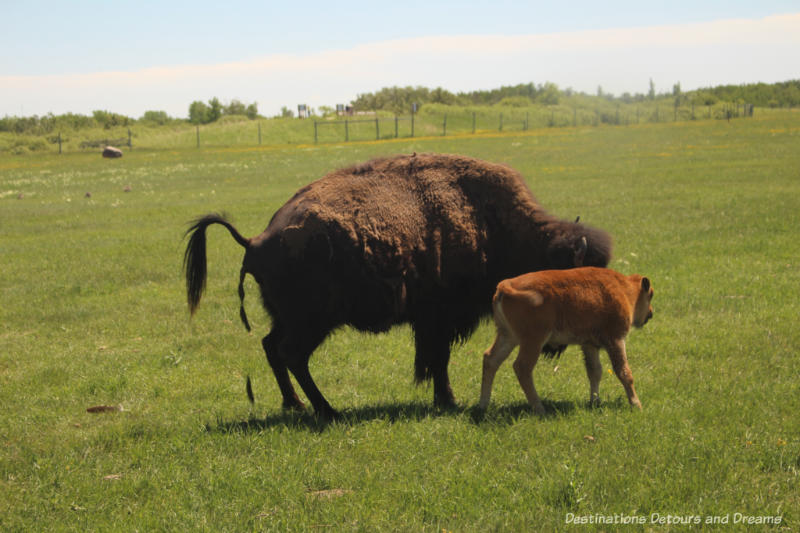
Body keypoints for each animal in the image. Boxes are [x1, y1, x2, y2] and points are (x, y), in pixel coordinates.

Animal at [183, 152, 612, 418]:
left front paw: (444, 399)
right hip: (313, 322)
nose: (560, 344)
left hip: (287, 318)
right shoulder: (439, 320)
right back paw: (327, 410)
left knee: (272, 347)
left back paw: (297, 406)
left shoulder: (433, 322)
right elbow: (438, 360)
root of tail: (256, 240)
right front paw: (447, 400)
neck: (490, 220)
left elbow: (436, 359)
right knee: (292, 354)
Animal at [478, 268, 652, 414]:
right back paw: (540, 408)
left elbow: (595, 371)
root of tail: (504, 286)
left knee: (491, 359)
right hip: (533, 341)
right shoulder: (616, 340)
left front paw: (595, 402)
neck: (624, 289)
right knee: (522, 367)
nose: (650, 314)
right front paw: (636, 405)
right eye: (650, 295)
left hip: (507, 336)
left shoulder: (589, 344)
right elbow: (624, 372)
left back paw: (483, 405)